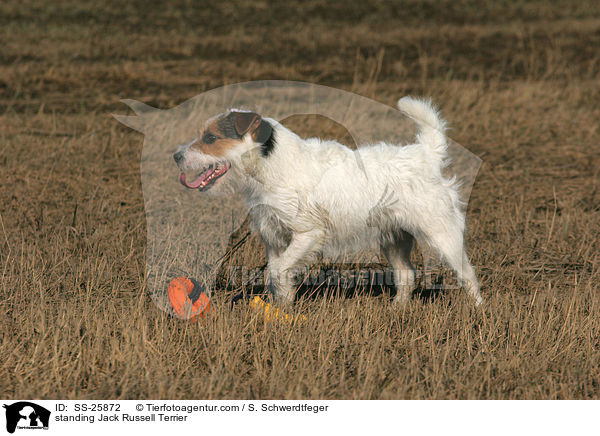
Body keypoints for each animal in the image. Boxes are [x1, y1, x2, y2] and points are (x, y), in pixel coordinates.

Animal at [173, 96, 482, 306]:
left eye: (210, 138)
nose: (176, 156)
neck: (273, 165)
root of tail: (425, 155)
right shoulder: (274, 239)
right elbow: (276, 273)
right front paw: (281, 308)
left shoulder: (308, 234)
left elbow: (279, 270)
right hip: (393, 239)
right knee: (406, 275)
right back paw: (397, 309)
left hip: (443, 235)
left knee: (467, 274)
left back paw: (477, 311)